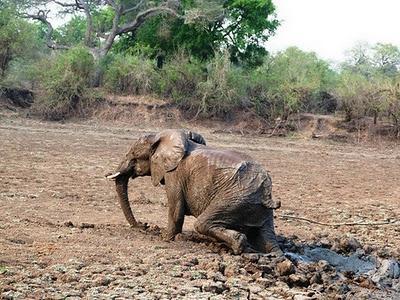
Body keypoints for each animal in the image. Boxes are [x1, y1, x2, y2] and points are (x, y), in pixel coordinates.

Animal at [106, 129, 282, 255]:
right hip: (258, 207)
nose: (143, 225)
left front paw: (165, 238)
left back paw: (238, 245)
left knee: (202, 223)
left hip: (237, 198)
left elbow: (176, 209)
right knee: (267, 238)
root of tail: (266, 193)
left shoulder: (174, 173)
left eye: (133, 154)